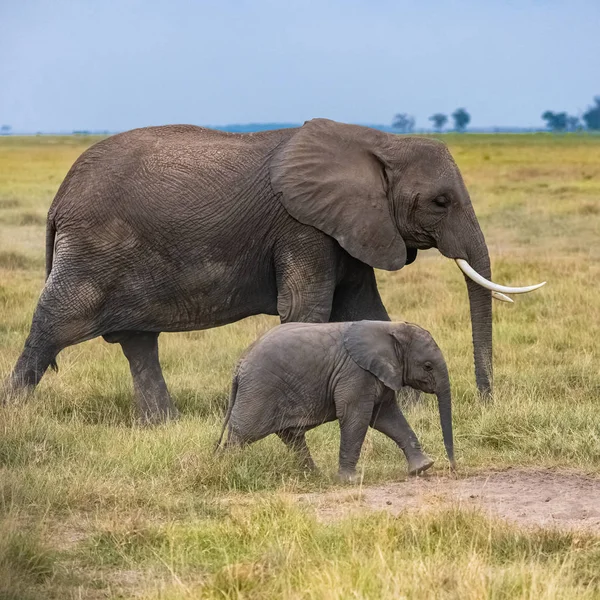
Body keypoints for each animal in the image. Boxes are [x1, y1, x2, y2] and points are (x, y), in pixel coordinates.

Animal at [7, 118, 548, 422]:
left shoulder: (347, 227)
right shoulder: (302, 227)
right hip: (93, 251)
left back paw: (164, 427)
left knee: (139, 342)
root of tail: (59, 199)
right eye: (440, 202)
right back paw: (14, 415)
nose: (487, 402)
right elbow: (308, 309)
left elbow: (365, 309)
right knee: (53, 325)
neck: (376, 143)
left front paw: (405, 405)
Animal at [218, 322, 458, 480]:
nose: (453, 468)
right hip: (259, 390)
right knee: (241, 435)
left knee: (291, 436)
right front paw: (350, 480)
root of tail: (239, 364)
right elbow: (356, 417)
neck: (391, 328)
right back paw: (226, 470)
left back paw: (315, 476)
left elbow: (387, 418)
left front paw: (422, 467)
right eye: (428, 366)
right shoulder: (355, 373)